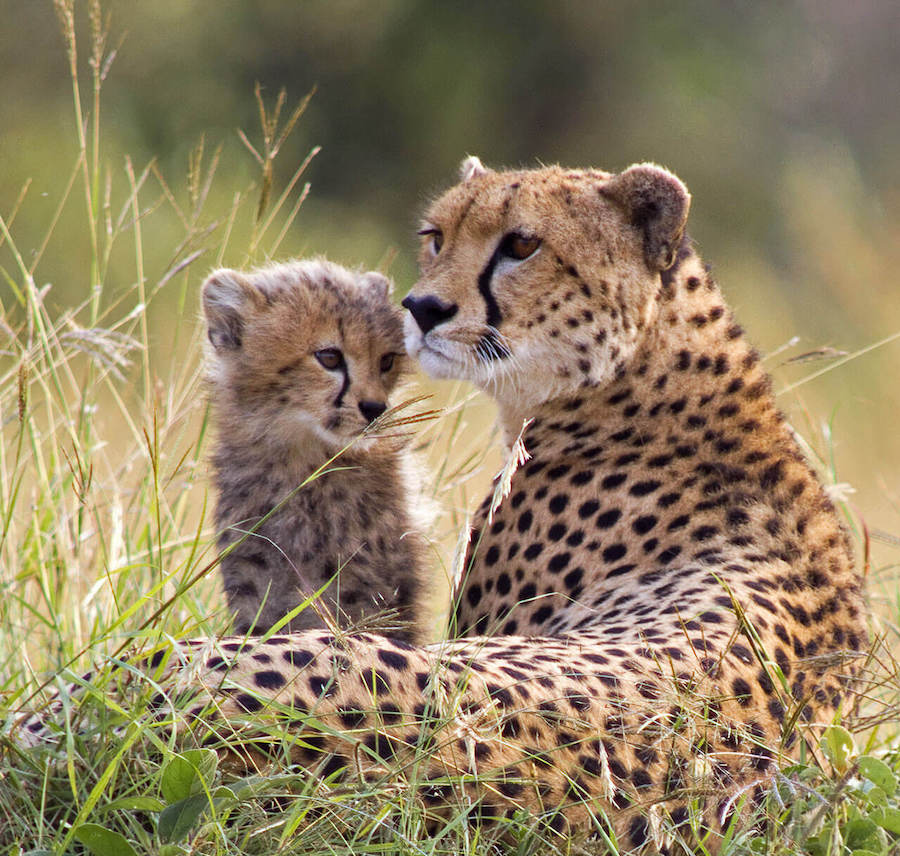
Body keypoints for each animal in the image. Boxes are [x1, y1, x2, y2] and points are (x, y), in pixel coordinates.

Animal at [202, 258, 429, 641]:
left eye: (386, 361)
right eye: (329, 357)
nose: (375, 407)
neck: (300, 461)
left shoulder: (367, 593)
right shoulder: (255, 584)